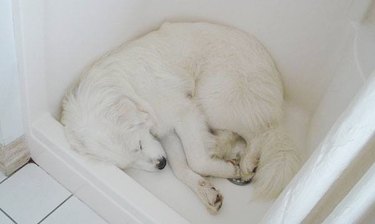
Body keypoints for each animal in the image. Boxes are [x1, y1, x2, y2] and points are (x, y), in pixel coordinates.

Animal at [63, 22, 302, 214]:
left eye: (138, 145)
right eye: (129, 165)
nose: (160, 165)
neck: (130, 88)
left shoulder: (183, 114)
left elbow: (196, 160)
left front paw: (227, 170)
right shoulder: (167, 132)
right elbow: (180, 168)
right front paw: (206, 190)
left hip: (212, 98)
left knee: (262, 131)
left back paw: (246, 165)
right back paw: (220, 148)